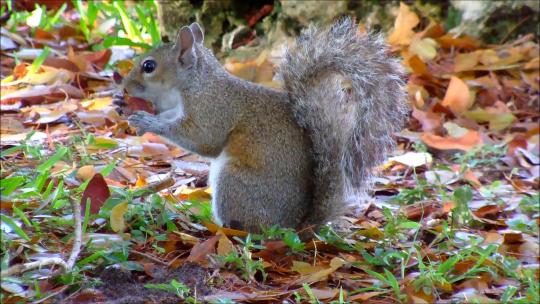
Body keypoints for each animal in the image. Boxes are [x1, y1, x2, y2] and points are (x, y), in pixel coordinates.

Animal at [122, 17, 408, 234]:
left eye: (149, 66)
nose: (124, 87)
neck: (195, 84)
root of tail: (295, 227)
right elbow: (170, 116)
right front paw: (136, 114)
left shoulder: (212, 109)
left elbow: (202, 139)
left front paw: (148, 121)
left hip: (234, 182)